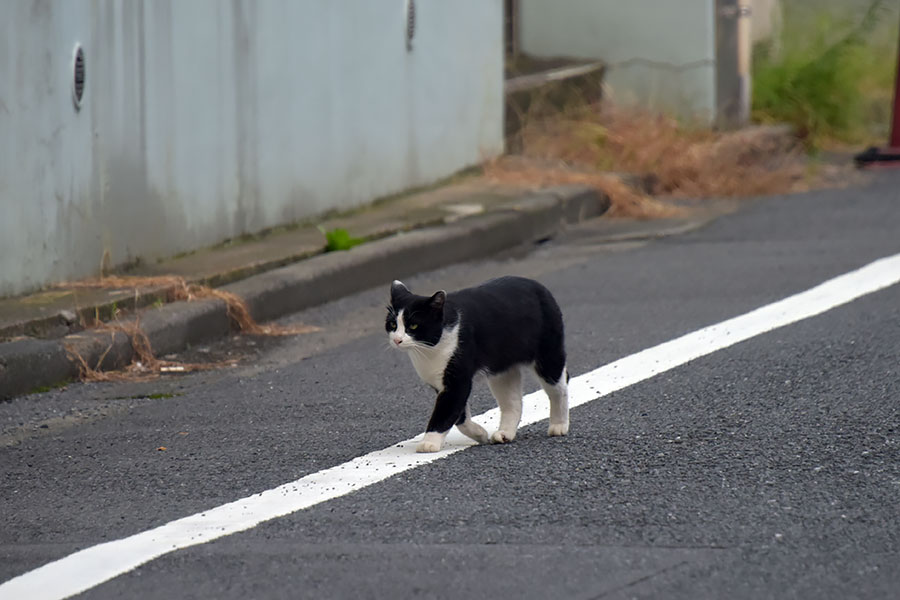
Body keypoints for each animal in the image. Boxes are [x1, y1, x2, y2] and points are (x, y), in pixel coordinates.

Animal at [386, 276, 568, 450]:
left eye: (413, 326)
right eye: (393, 324)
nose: (397, 340)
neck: (428, 351)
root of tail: (537, 285)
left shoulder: (457, 381)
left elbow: (444, 412)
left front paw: (429, 443)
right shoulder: (441, 385)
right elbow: (459, 417)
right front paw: (480, 434)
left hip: (548, 355)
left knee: (559, 387)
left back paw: (559, 426)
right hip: (502, 370)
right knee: (513, 402)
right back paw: (504, 434)